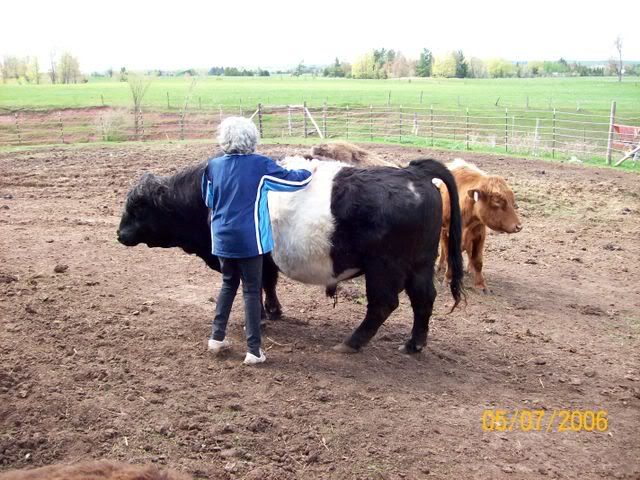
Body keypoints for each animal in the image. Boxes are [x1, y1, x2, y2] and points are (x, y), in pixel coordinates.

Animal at [118, 157, 464, 354]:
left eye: (138, 207)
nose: (120, 234)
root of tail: (414, 173)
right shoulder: (266, 260)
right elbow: (268, 284)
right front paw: (273, 311)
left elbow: (254, 287)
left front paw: (259, 316)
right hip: (419, 265)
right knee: (424, 300)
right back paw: (414, 343)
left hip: (385, 268)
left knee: (383, 305)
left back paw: (352, 342)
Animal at [437, 159, 522, 292]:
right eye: (497, 201)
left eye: (512, 201)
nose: (518, 226)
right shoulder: (447, 232)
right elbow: (449, 255)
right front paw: (448, 279)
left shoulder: (479, 234)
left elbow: (477, 260)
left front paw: (481, 285)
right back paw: (440, 266)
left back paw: (469, 269)